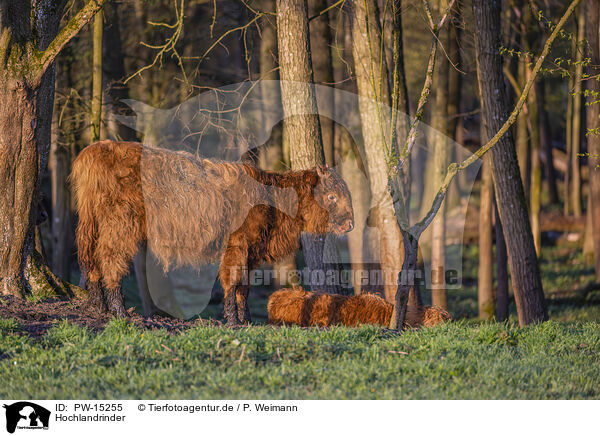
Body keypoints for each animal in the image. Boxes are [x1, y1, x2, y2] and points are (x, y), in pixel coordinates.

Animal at [71, 141, 354, 324]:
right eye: (331, 196)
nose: (350, 224)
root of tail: (96, 149)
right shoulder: (237, 244)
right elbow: (233, 281)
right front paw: (232, 320)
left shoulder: (251, 251)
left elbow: (245, 286)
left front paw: (246, 319)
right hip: (120, 223)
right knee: (110, 259)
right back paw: (118, 311)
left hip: (94, 222)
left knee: (91, 259)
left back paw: (98, 305)